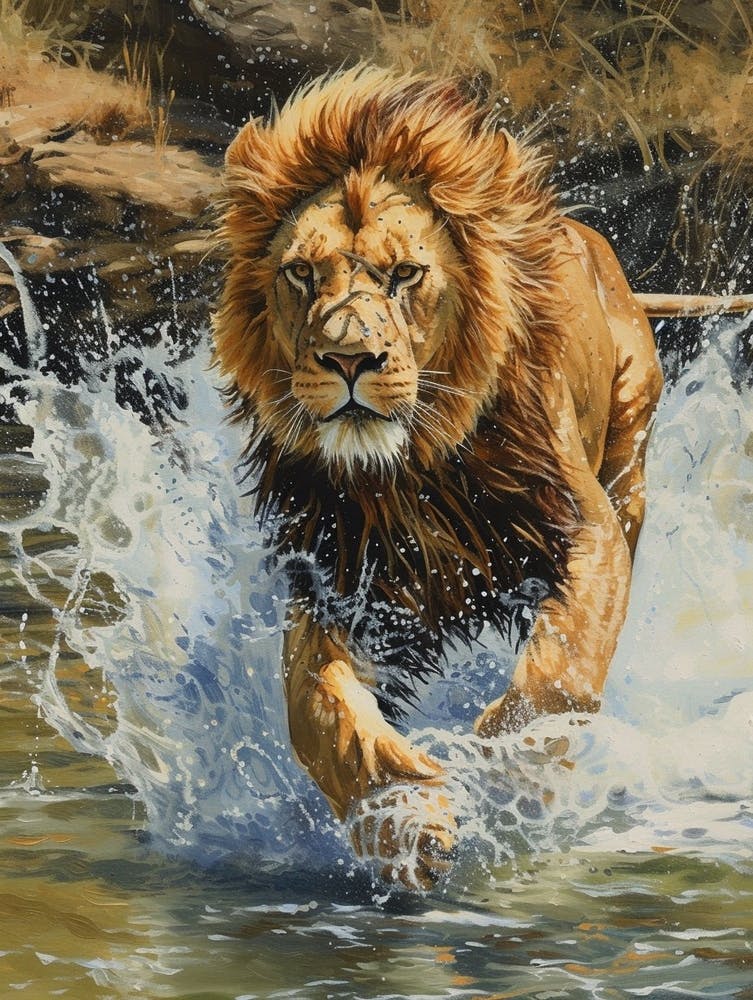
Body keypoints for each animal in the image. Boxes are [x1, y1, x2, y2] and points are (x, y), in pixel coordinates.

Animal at [212, 66, 665, 889]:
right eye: (301, 273)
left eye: (404, 275)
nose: (348, 359)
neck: (409, 475)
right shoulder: (338, 578)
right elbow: (316, 708)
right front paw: (402, 819)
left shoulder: (584, 530)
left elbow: (561, 673)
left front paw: (509, 769)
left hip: (628, 458)